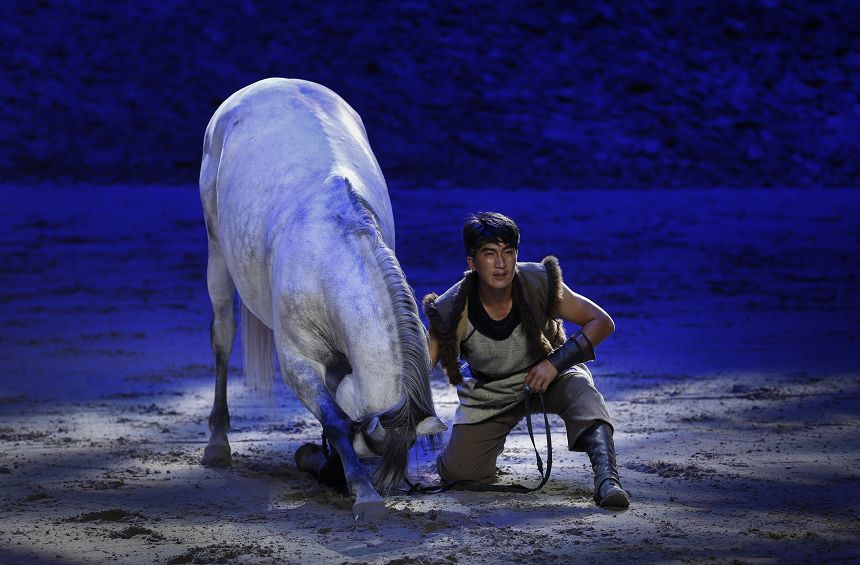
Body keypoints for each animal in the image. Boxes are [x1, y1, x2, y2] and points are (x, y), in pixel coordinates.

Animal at [198, 77, 445, 519]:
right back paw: (217, 443)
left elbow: (337, 416)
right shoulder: (299, 362)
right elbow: (336, 420)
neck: (332, 253)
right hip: (216, 251)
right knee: (222, 334)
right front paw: (362, 491)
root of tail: (268, 83)